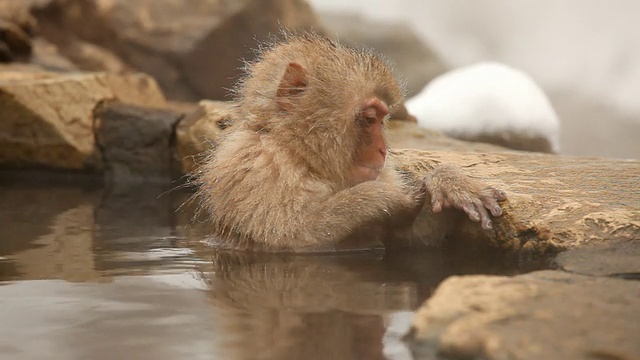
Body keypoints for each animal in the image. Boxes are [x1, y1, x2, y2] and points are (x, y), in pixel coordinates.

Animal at [198, 34, 508, 253]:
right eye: (369, 118)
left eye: (382, 119)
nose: (383, 150)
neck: (300, 155)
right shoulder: (256, 171)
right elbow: (289, 239)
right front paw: (379, 196)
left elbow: (409, 239)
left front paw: (448, 182)